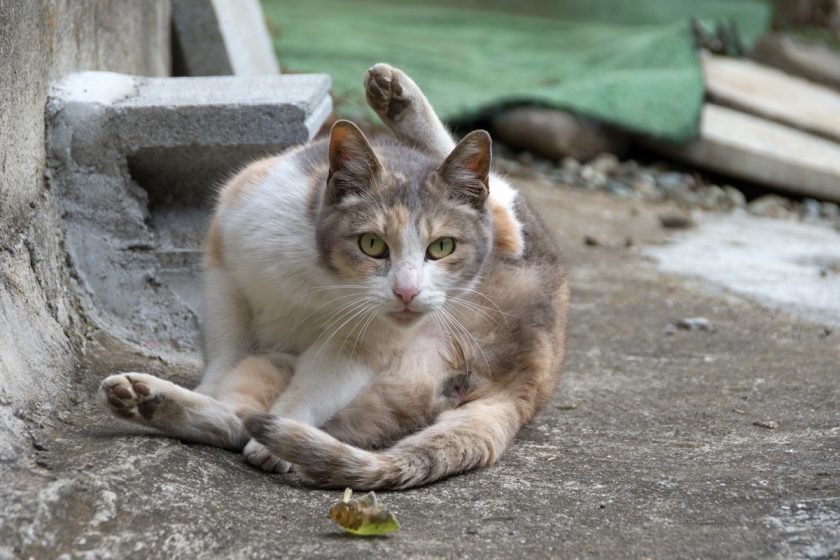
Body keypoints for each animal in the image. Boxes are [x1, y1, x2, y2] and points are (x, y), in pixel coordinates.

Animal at [100, 63, 572, 488]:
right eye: (372, 244)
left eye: (441, 248)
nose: (407, 292)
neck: (324, 281)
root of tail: (529, 372)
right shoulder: (226, 260)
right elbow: (226, 345)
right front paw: (211, 385)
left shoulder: (358, 347)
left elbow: (312, 391)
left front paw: (279, 436)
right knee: (239, 416)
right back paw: (146, 400)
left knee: (505, 212)